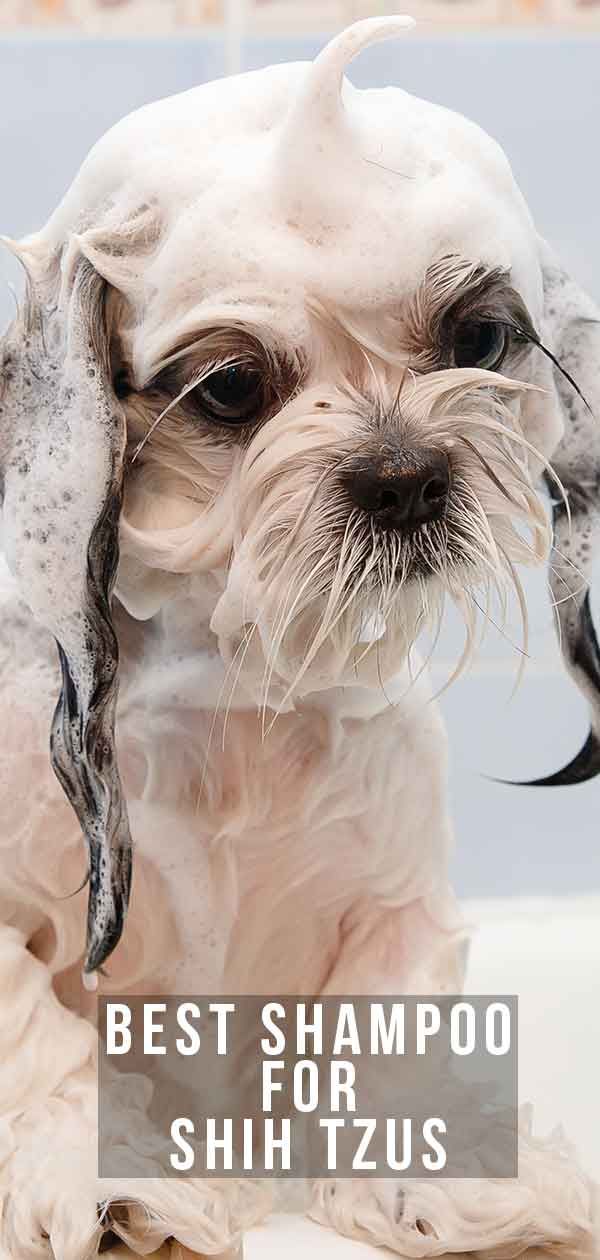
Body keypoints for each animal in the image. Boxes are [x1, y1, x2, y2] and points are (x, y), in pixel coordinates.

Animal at [1, 17, 600, 1260]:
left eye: (480, 335)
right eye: (231, 387)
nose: (405, 475)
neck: (239, 685)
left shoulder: (396, 897)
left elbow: (389, 1022)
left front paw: (446, 1183)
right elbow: (42, 1044)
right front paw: (108, 1183)